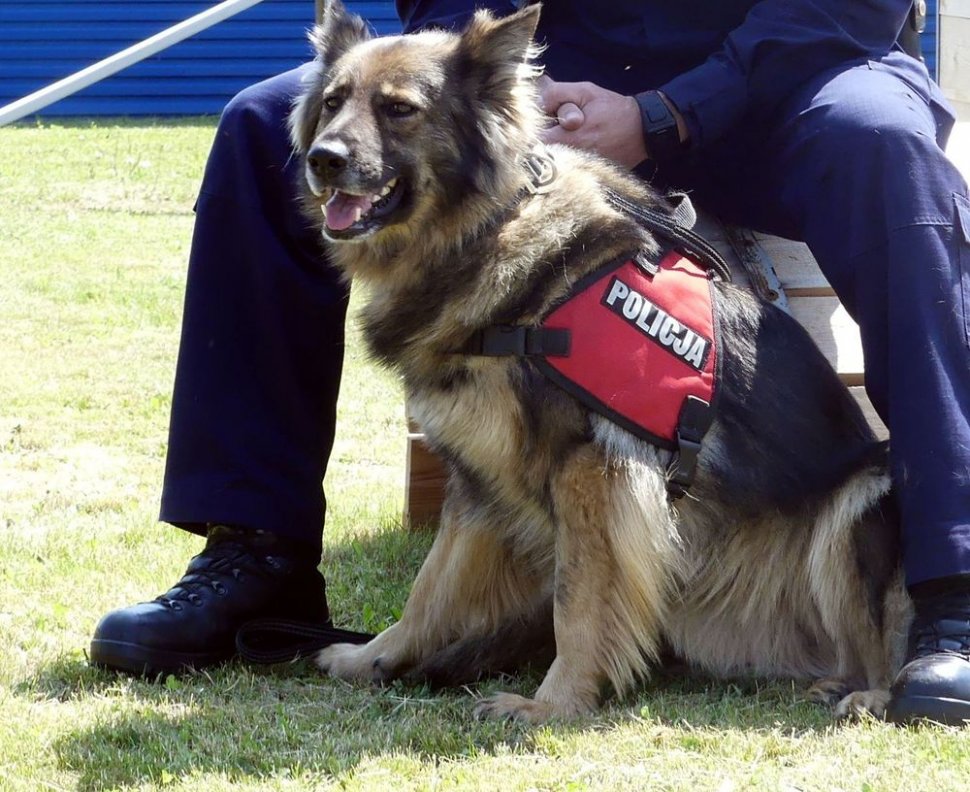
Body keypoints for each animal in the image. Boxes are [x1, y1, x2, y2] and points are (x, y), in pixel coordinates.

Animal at [292, 0, 912, 720]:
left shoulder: (596, 475)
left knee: (882, 636)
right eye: (333, 102)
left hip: (865, 492)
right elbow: (430, 590)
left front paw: (552, 706)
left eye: (399, 109)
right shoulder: (477, 484)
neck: (491, 232)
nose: (322, 160)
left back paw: (873, 691)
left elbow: (578, 599)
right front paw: (373, 658)